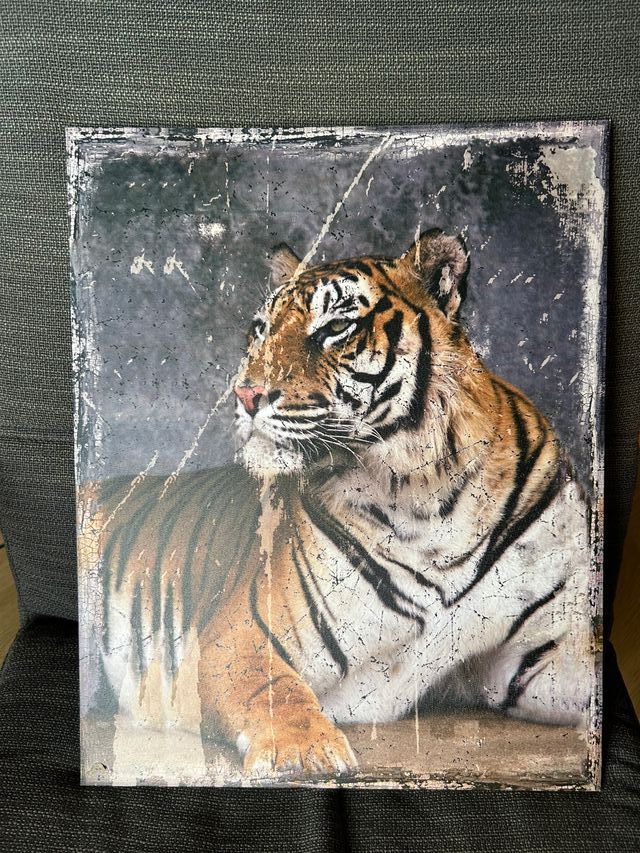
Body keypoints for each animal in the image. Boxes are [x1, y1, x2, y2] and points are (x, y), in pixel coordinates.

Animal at [79, 228, 594, 780]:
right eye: (260, 329)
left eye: (335, 327)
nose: (243, 394)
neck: (427, 498)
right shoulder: (240, 637)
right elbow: (278, 694)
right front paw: (303, 751)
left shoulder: (548, 647)